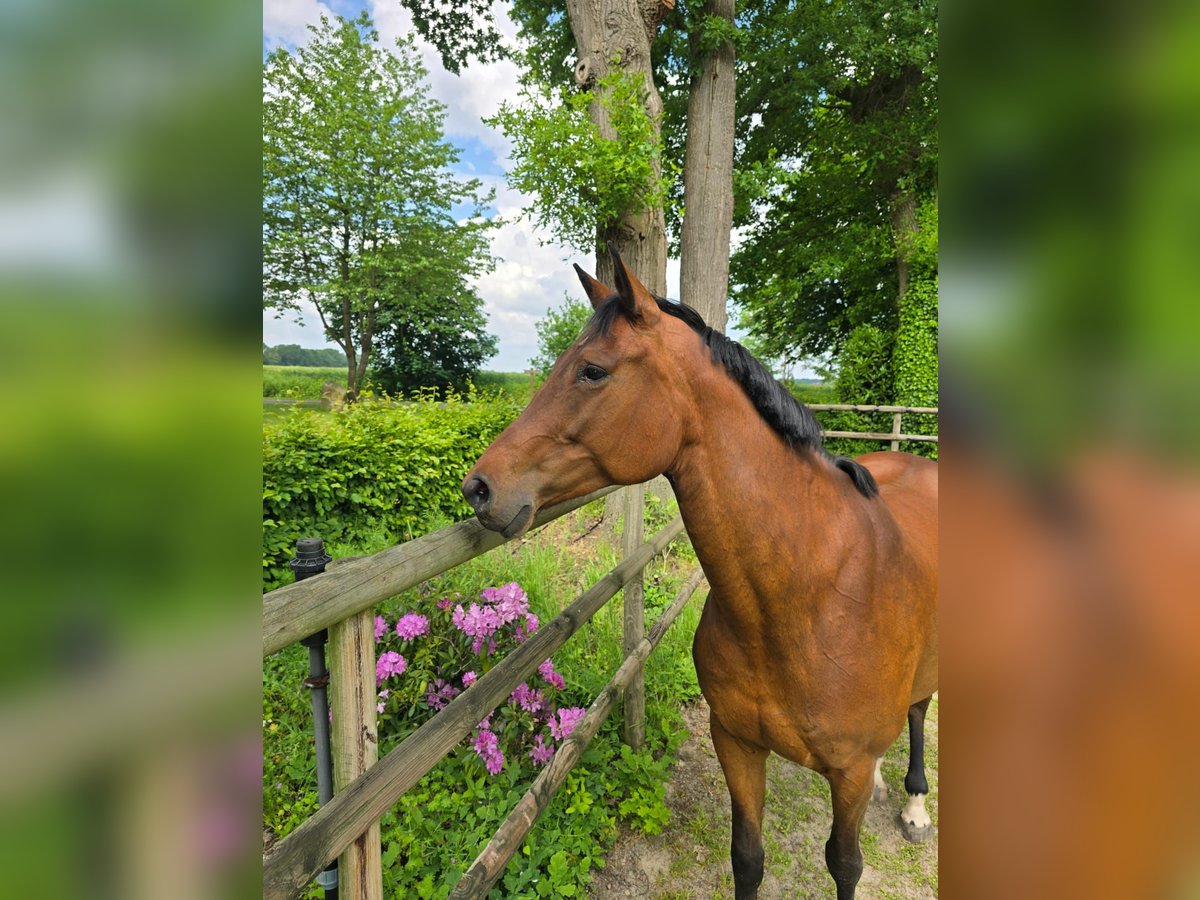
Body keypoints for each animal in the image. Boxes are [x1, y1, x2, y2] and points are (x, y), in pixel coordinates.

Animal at [458, 247, 936, 900]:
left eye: (592, 372)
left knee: (919, 711)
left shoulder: (848, 772)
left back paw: (914, 804)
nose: (479, 488)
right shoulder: (735, 743)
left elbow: (845, 864)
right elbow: (748, 858)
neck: (808, 597)